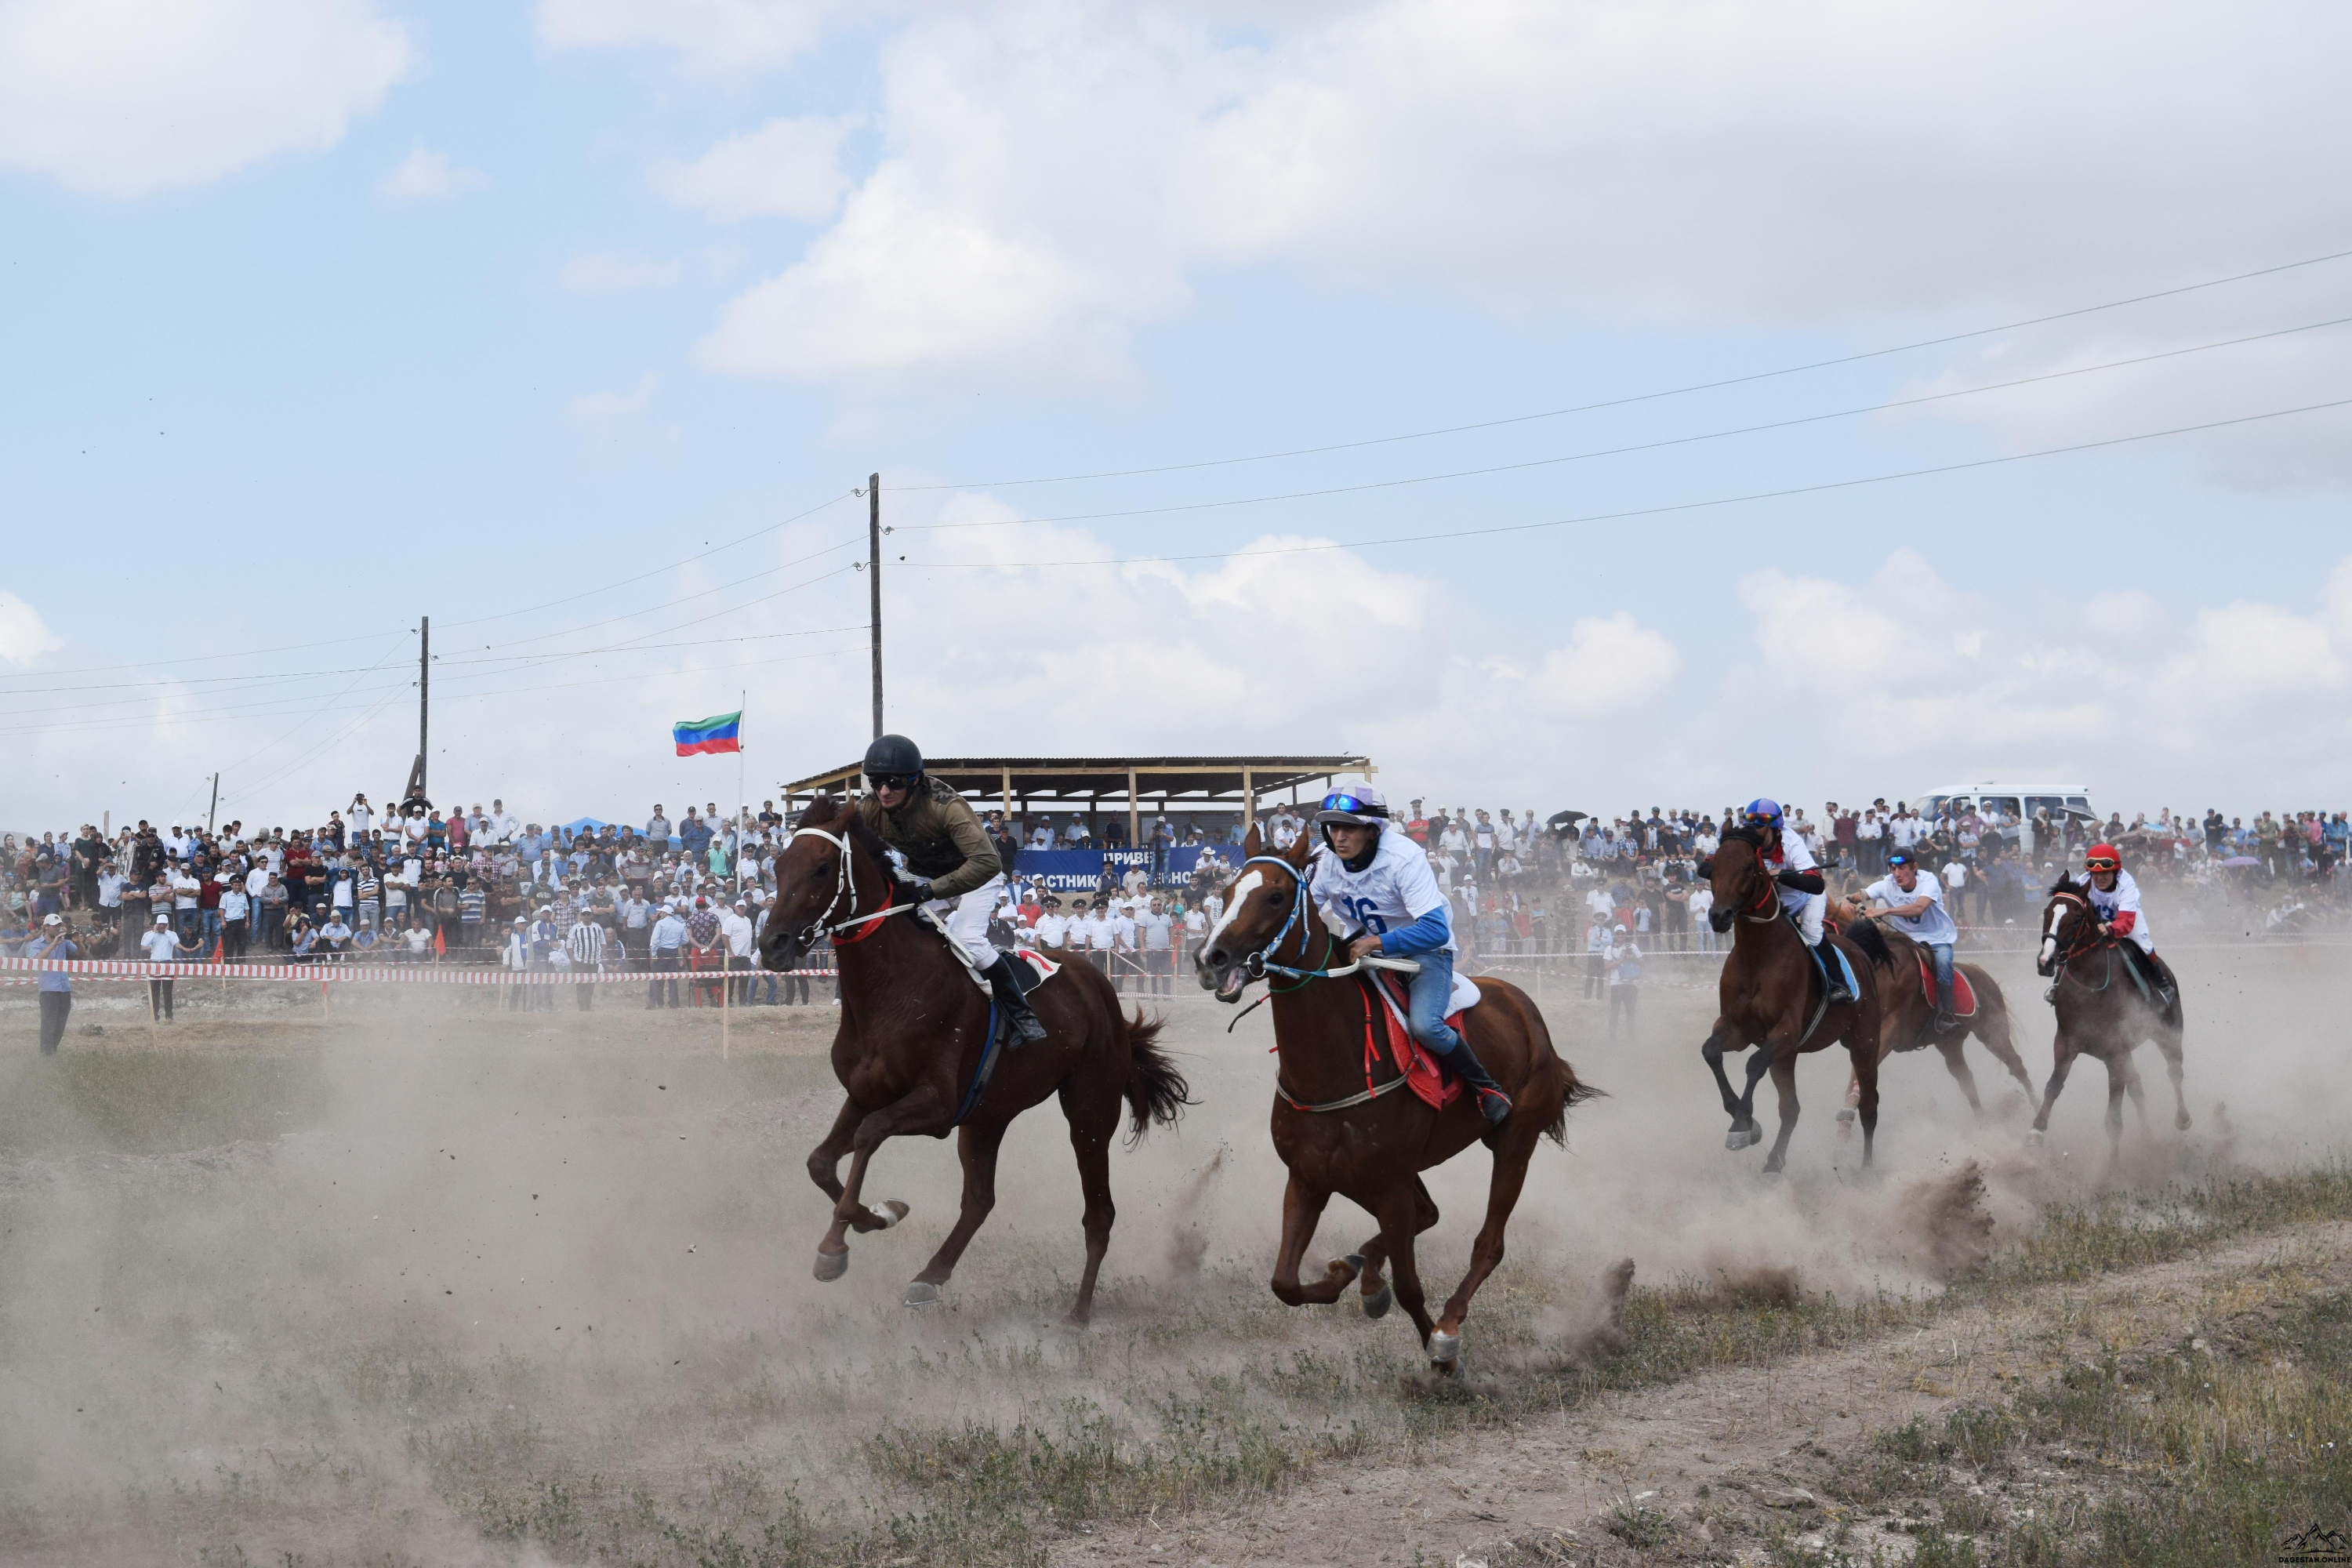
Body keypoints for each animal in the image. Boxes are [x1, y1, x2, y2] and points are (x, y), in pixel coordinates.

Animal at [757, 799, 1185, 1326]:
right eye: (778, 867)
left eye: (821, 868)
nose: (772, 945)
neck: (892, 989)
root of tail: (1101, 988)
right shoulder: (865, 1094)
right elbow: (820, 1162)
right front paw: (878, 1215)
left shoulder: (937, 1106)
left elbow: (868, 1135)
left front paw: (837, 1244)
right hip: (987, 1117)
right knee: (980, 1200)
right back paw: (929, 1276)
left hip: (1088, 1110)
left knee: (1098, 1213)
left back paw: (1079, 1313)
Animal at [1195, 827, 1599, 1363]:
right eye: (1224, 894)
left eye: (1276, 896)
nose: (1210, 960)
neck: (1333, 1068)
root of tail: (1525, 1009)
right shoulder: (1311, 1177)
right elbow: (1285, 1283)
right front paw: (1348, 1275)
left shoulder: (1388, 1186)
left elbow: (1410, 1288)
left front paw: (1439, 1352)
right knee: (1430, 1214)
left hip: (1515, 1141)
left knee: (1489, 1244)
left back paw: (1449, 1321)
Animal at [1703, 827, 1882, 1171]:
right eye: (1712, 865)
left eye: (1748, 866)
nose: (1719, 916)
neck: (1758, 957)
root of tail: (1860, 953)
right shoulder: (1738, 1029)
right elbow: (1711, 1052)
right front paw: (1746, 1123)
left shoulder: (1785, 1031)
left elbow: (1754, 1064)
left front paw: (1741, 1125)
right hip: (1788, 1057)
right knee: (1791, 1108)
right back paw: (1774, 1163)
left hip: (1864, 1044)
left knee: (1869, 1105)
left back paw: (1867, 1169)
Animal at [1835, 912, 2042, 1123]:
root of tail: (1982, 973)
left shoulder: (1888, 1030)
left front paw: (1848, 1113)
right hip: (1949, 1043)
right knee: (1966, 1078)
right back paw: (1982, 1123)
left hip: (1993, 1033)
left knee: (2016, 1066)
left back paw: (2038, 1111)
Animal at [2023, 869, 2183, 1166]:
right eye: (2047, 912)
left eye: (2076, 919)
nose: (2046, 962)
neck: (2089, 987)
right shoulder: (2065, 1042)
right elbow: (2053, 1086)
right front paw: (2036, 1131)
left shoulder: (2116, 1051)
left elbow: (2114, 1118)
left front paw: (2112, 1167)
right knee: (2137, 1087)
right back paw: (2148, 1138)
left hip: (2169, 1032)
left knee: (2175, 1071)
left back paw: (2182, 1118)